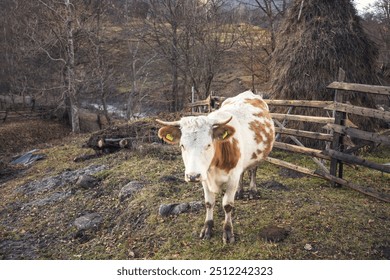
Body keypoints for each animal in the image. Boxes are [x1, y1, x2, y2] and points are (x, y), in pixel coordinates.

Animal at [155, 90, 274, 243]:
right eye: (182, 145)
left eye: (208, 145)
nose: (192, 176)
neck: (214, 167)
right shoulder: (205, 177)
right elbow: (209, 203)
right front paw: (208, 228)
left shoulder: (232, 178)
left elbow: (227, 205)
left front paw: (228, 232)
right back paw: (240, 192)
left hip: (257, 156)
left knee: (253, 170)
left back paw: (252, 191)